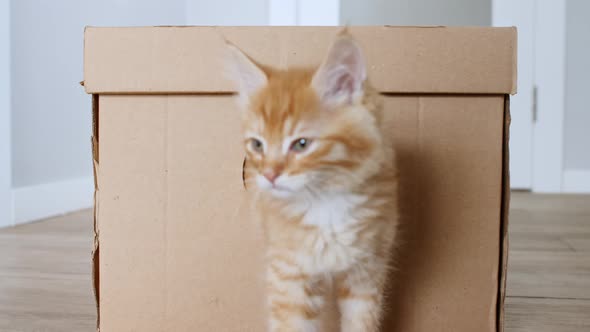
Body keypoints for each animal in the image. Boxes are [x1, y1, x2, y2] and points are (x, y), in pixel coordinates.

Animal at [229, 32, 400, 330]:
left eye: (301, 144)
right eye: (257, 145)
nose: (269, 175)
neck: (325, 204)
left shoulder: (368, 271)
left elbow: (361, 323)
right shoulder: (288, 276)